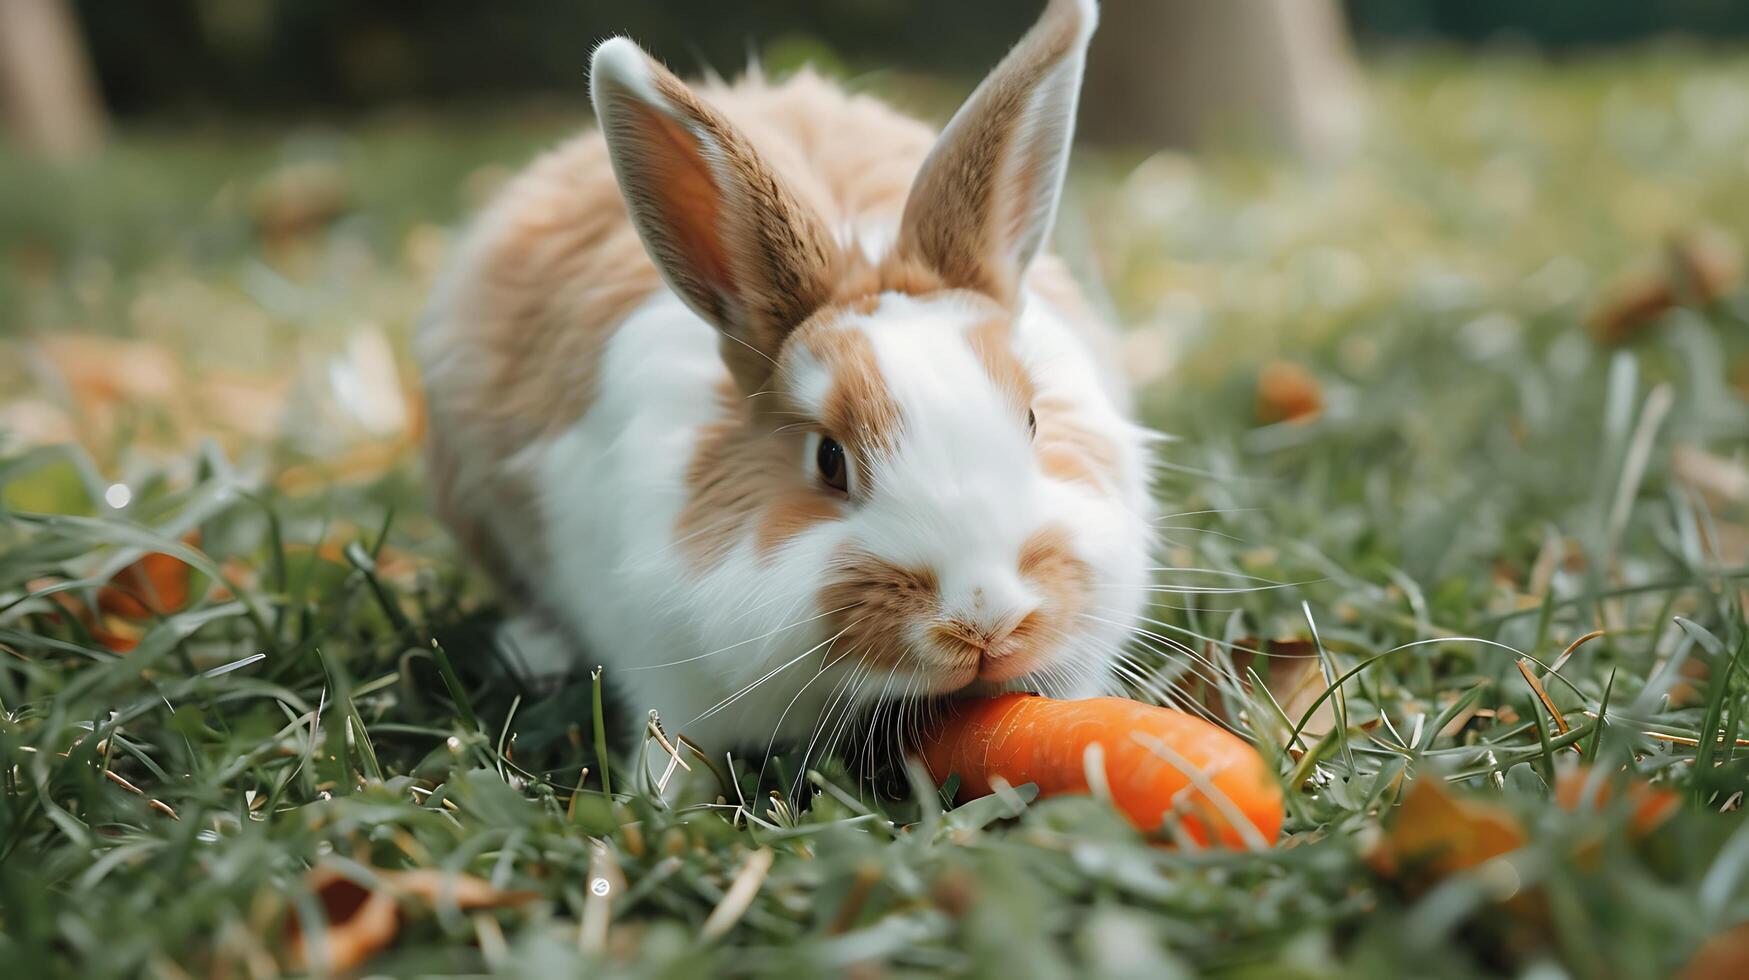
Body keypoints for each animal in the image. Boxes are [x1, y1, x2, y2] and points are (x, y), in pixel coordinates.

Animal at [414, 0, 1154, 780]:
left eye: (1035, 422)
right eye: (829, 460)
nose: (984, 622)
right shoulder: (672, 678)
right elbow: (669, 746)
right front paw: (656, 791)